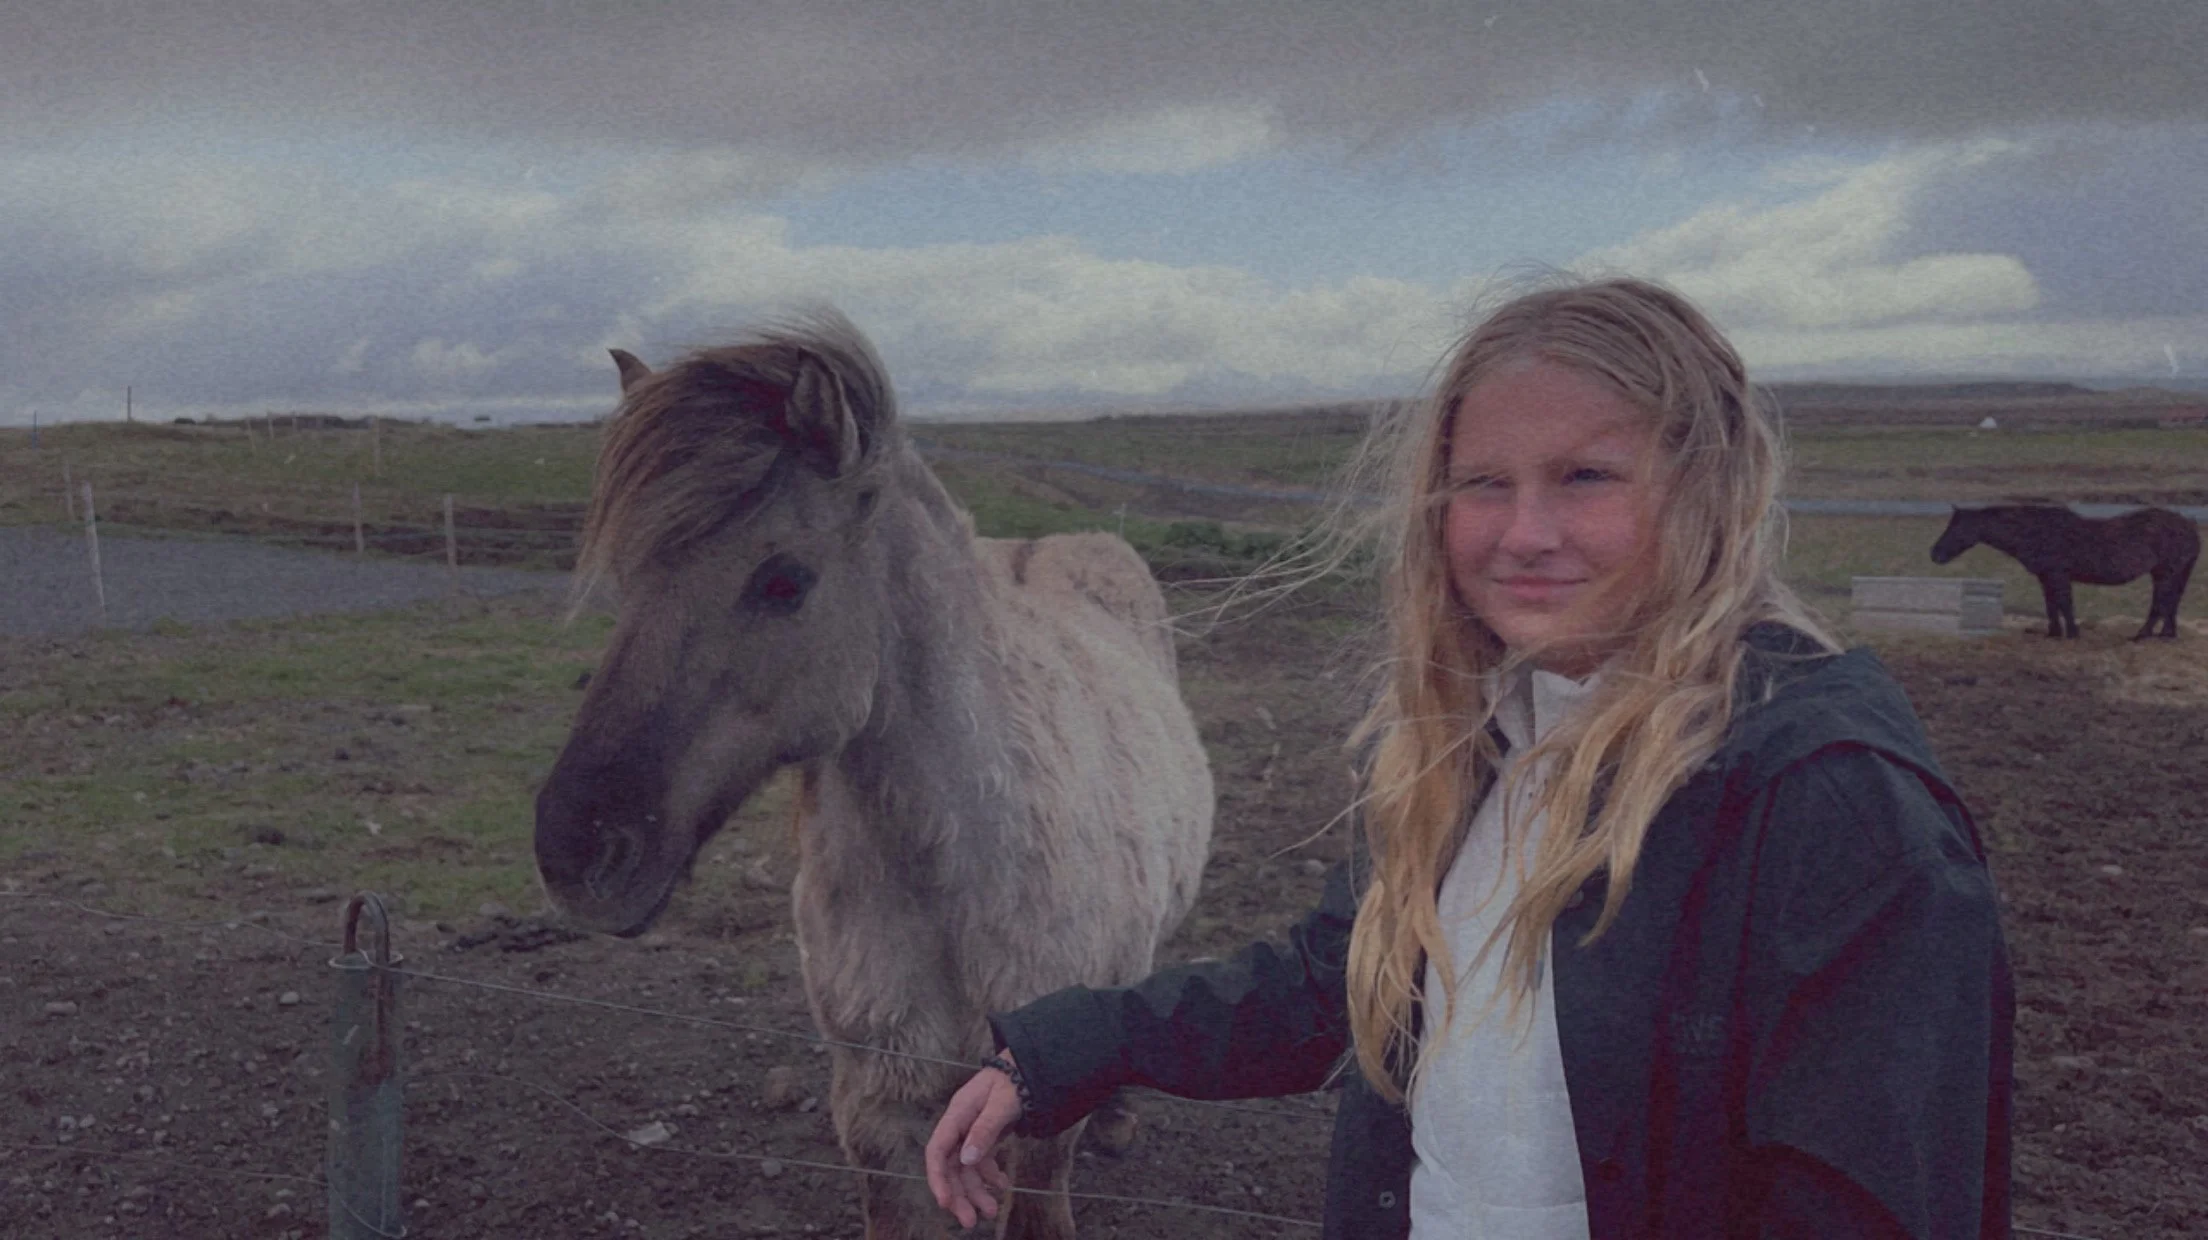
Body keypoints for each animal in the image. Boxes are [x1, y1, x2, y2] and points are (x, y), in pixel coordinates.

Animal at [532, 313, 1214, 1239]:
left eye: (784, 580)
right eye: (630, 578)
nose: (576, 851)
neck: (958, 872)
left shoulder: (1039, 1120)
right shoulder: (882, 1112)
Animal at [1929, 503, 2200, 639]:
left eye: (1957, 527)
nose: (1934, 554)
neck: (2038, 532)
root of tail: (2188, 524)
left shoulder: (2058, 575)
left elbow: (2064, 603)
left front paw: (2071, 633)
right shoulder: (2046, 577)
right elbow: (2052, 605)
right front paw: (2054, 632)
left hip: (2165, 572)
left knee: (2161, 603)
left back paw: (2143, 634)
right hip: (2166, 573)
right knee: (2170, 603)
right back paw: (2166, 634)